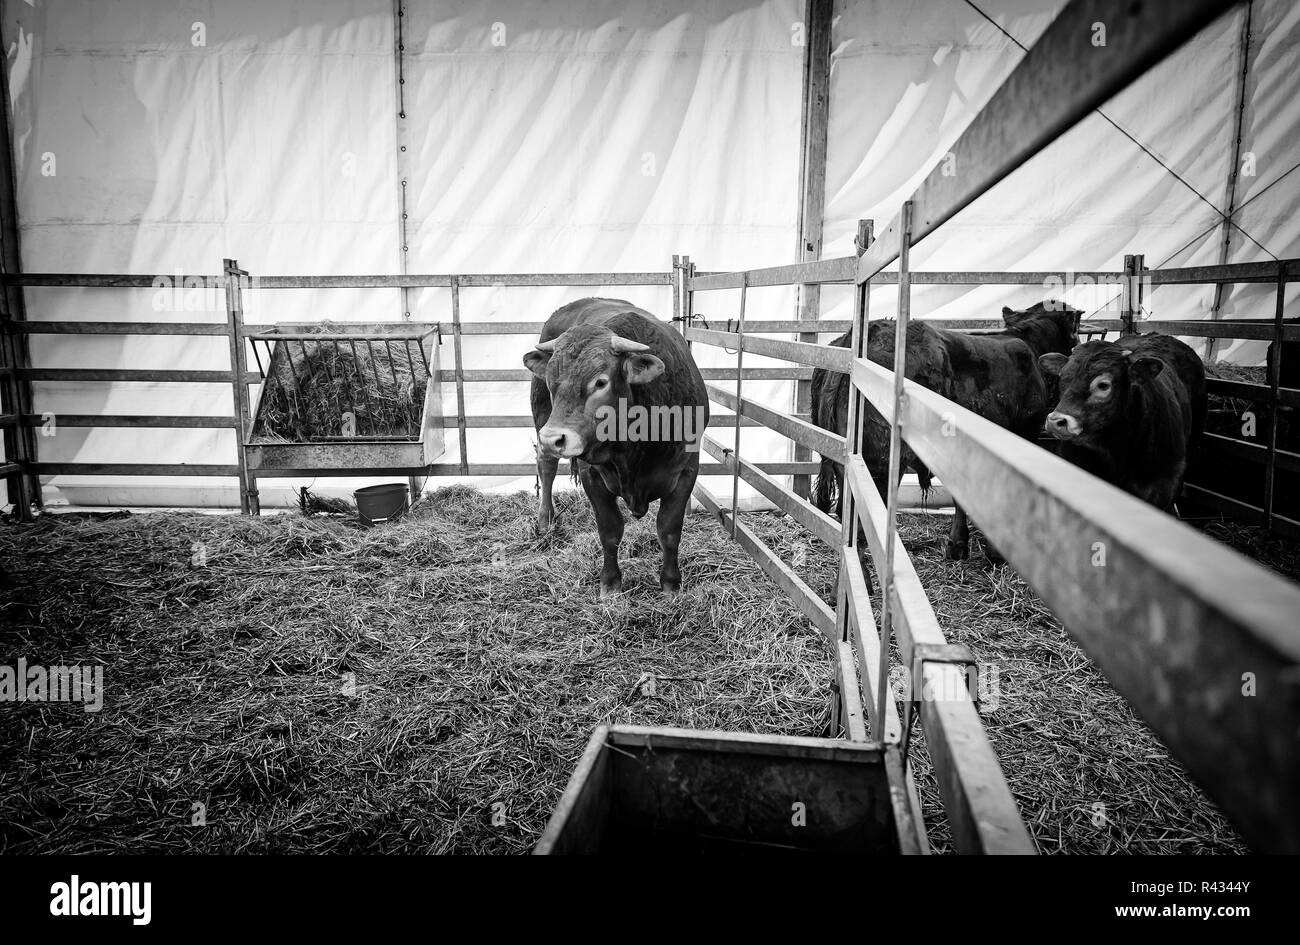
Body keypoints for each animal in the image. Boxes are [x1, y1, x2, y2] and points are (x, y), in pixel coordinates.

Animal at [520, 296, 712, 595]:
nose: (553, 438)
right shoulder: (592, 474)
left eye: (601, 381)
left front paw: (671, 583)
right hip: (541, 415)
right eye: (552, 380)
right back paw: (545, 521)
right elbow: (609, 531)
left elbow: (669, 530)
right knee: (547, 468)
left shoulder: (686, 470)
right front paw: (610, 583)